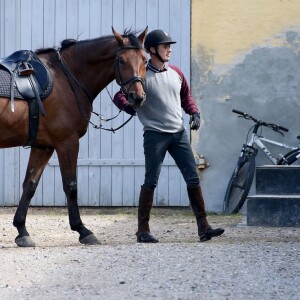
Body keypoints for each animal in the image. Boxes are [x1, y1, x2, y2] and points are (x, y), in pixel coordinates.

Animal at [0, 27, 148, 247]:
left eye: (145, 60)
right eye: (121, 60)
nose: (136, 97)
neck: (66, 77)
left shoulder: (43, 146)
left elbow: (30, 185)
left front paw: (22, 230)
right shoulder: (67, 142)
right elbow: (71, 185)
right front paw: (82, 230)